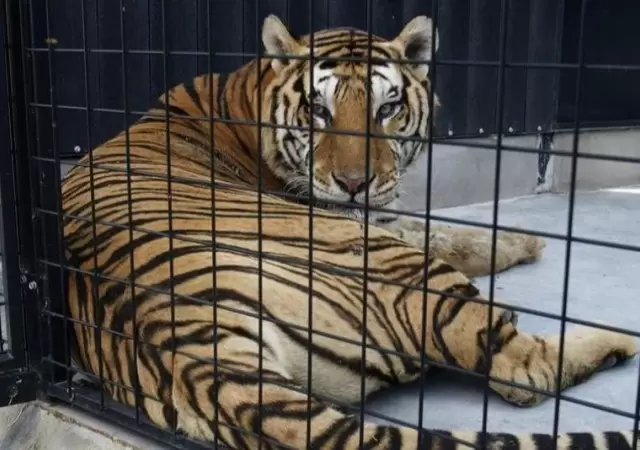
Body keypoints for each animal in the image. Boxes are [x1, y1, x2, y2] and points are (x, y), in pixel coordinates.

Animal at [60, 14, 638, 450]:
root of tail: (193, 351)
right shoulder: (375, 225)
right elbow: (440, 234)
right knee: (521, 372)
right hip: (397, 270)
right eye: (318, 110)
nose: (354, 184)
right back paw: (615, 341)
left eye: (388, 107)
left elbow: (441, 227)